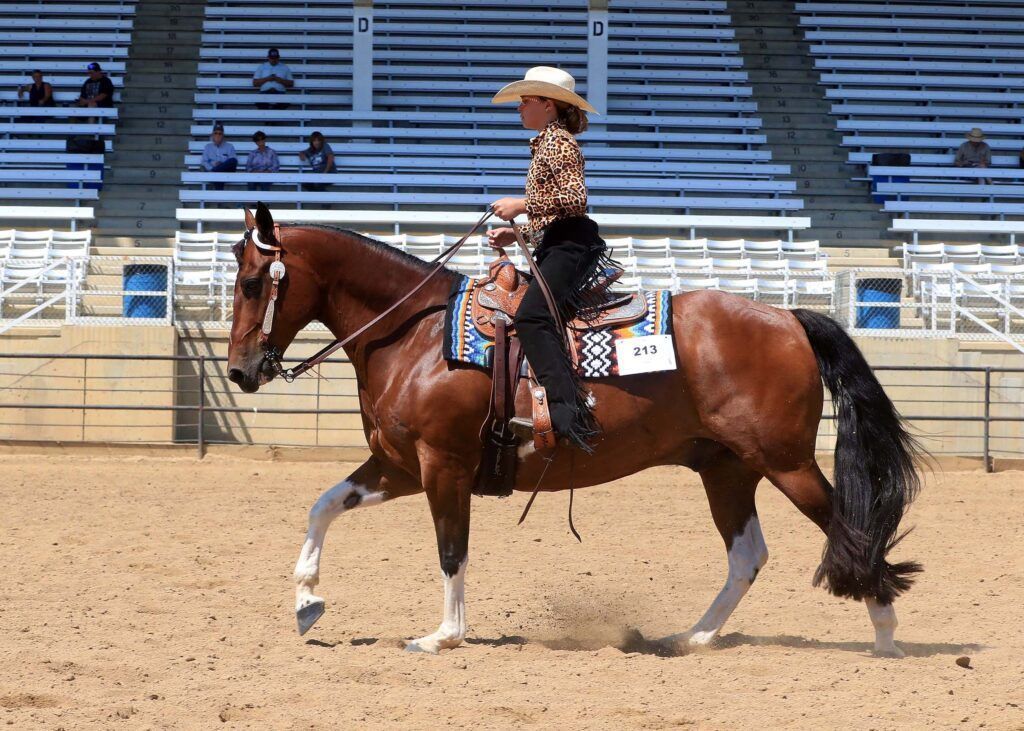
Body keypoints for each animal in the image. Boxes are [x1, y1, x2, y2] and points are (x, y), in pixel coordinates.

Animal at [227, 203, 922, 656]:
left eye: (254, 282)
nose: (239, 370)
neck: (416, 335)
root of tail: (787, 317)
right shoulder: (401, 465)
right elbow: (322, 507)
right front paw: (306, 603)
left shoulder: (443, 466)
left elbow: (452, 550)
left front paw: (443, 635)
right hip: (727, 468)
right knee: (747, 555)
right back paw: (691, 637)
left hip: (786, 463)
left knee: (849, 529)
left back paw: (886, 634)